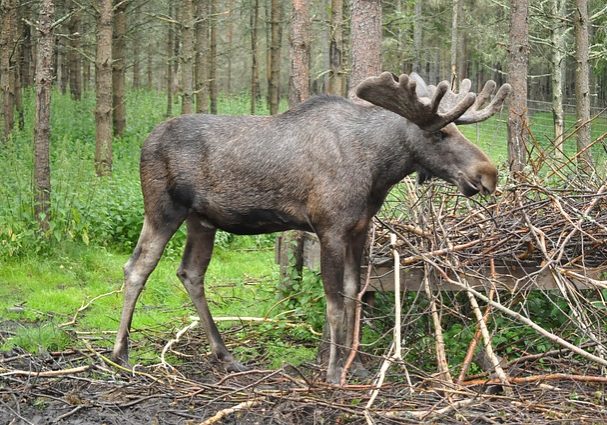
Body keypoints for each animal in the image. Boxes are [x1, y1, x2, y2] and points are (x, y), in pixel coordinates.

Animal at [111, 71, 510, 382]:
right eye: (440, 134)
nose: (488, 174)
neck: (378, 170)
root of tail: (145, 142)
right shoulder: (329, 226)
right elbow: (333, 301)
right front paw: (333, 371)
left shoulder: (359, 228)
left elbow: (354, 292)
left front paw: (356, 365)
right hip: (163, 209)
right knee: (137, 267)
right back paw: (121, 353)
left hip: (202, 220)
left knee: (190, 272)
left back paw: (225, 355)